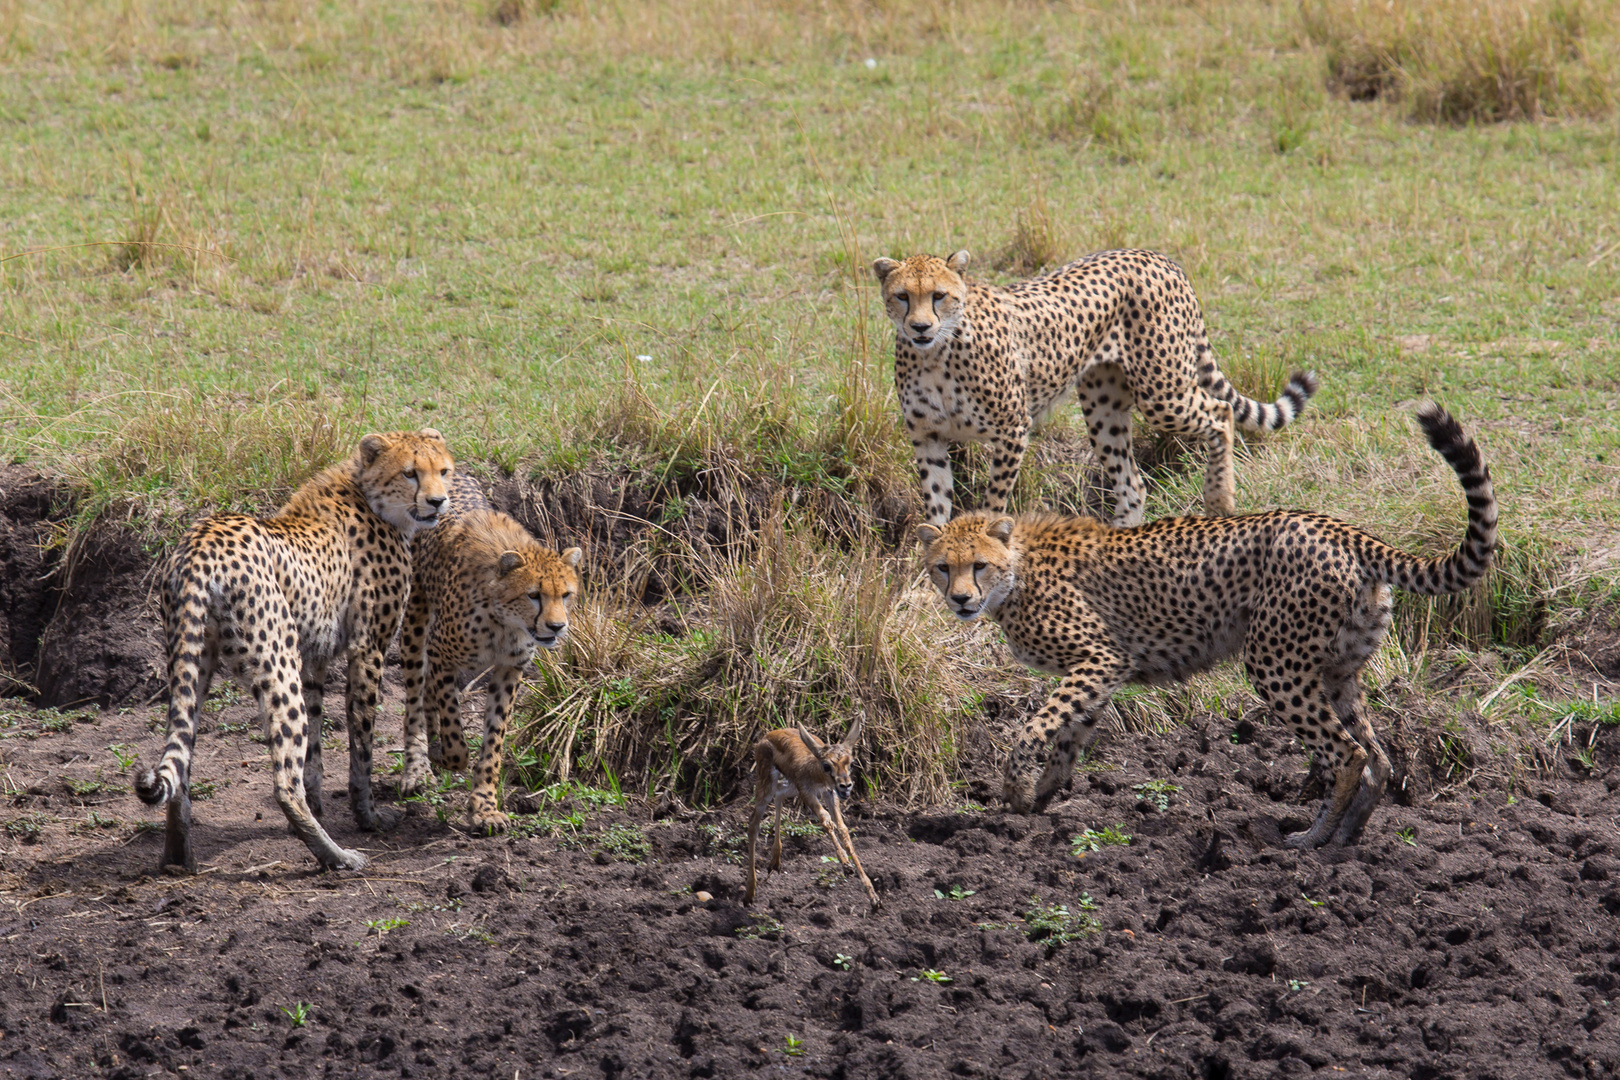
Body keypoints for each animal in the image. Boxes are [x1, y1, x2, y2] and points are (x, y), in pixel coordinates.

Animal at [134, 427, 456, 867]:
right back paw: (336, 856)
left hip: (194, 663)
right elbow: (361, 744)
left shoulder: (313, 660)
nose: (438, 501)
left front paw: (320, 805)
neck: (369, 495)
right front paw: (368, 816)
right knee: (283, 782)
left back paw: (178, 857)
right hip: (275, 664)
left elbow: (317, 745)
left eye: (443, 471)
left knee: (181, 763)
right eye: (410, 473)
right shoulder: (367, 650)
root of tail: (200, 542)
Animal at [398, 469, 583, 835]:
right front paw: (446, 755)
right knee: (414, 698)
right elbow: (455, 729)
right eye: (534, 595)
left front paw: (484, 807)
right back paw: (419, 767)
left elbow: (494, 741)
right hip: (415, 621)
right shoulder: (441, 654)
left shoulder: (509, 669)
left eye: (566, 594)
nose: (556, 627)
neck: (505, 620)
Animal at [874, 249, 1315, 527]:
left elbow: (993, 502)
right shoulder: (927, 436)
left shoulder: (1012, 429)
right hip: (1104, 407)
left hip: (1162, 392)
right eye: (902, 296)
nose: (920, 327)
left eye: (939, 296)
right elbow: (936, 503)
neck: (935, 354)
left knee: (1220, 413)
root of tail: (1155, 256)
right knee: (1133, 483)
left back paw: (1219, 500)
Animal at [920, 404, 1496, 854]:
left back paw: (1313, 840)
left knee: (1348, 753)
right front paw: (1039, 797)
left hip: (1274, 664)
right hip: (1339, 669)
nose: (960, 600)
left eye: (978, 566)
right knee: (1377, 757)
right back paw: (1346, 838)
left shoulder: (1099, 657)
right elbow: (1069, 734)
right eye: (943, 568)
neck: (1016, 569)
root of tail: (1341, 528)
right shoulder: (1104, 667)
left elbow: (1036, 728)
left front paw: (1016, 790)